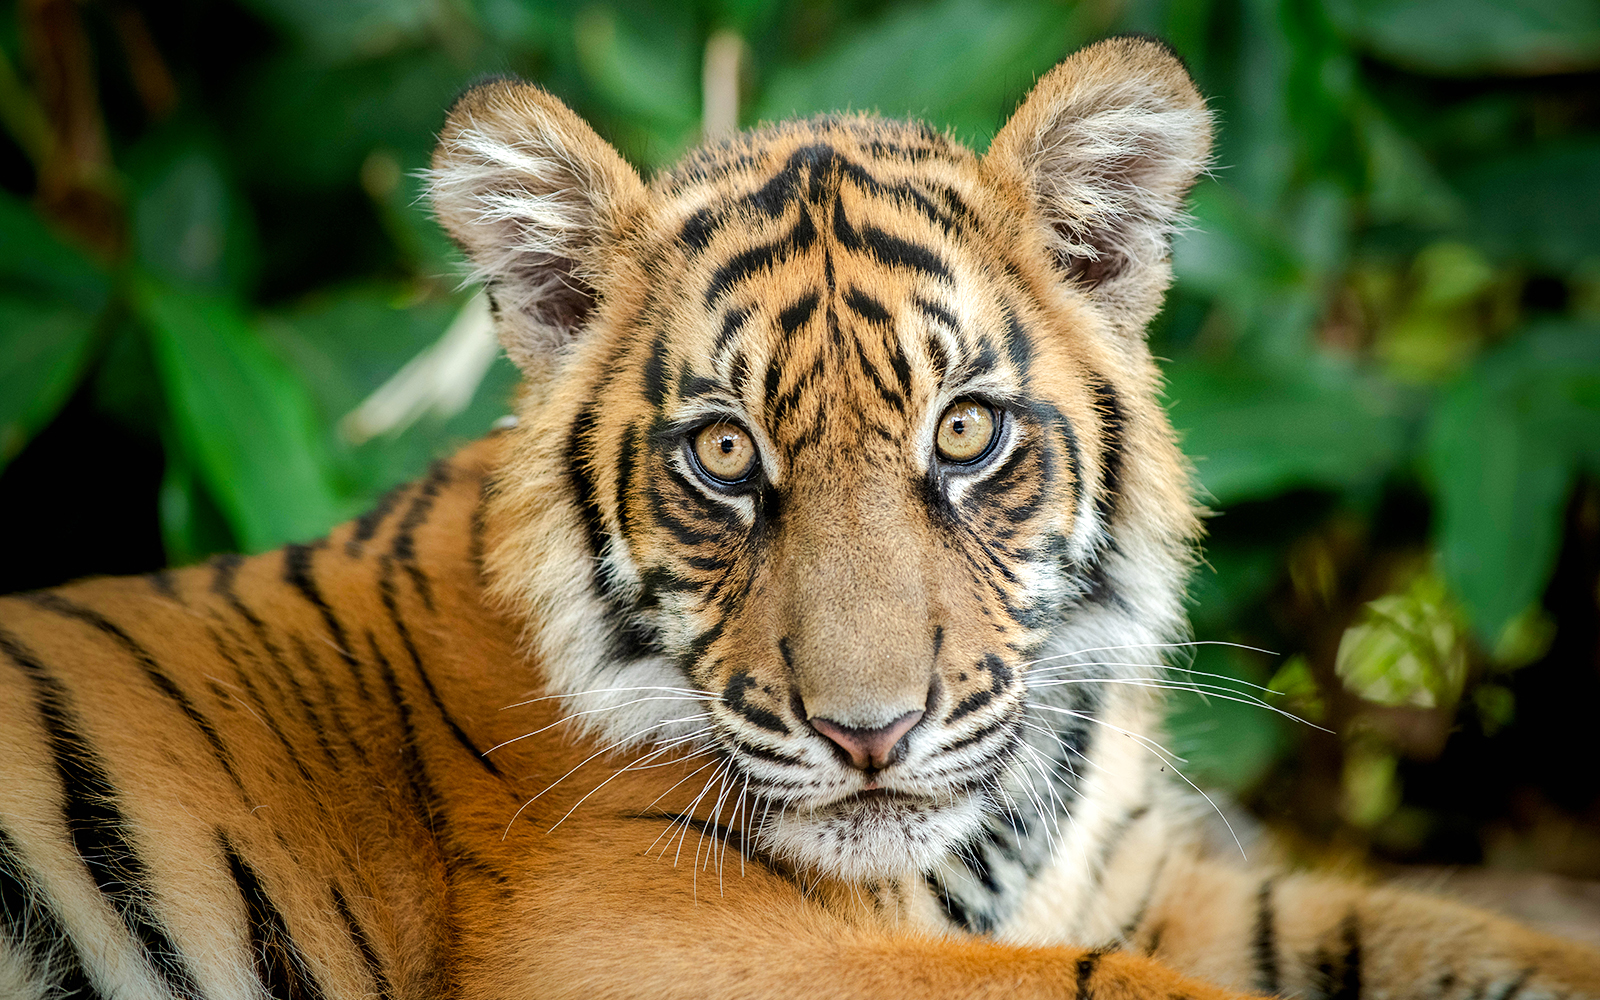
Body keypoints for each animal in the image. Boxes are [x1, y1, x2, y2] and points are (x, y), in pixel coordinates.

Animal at [2, 34, 1597, 1000]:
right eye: (723, 453)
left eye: (963, 432)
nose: (869, 735)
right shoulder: (648, 936)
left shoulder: (1146, 879)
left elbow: (1428, 930)